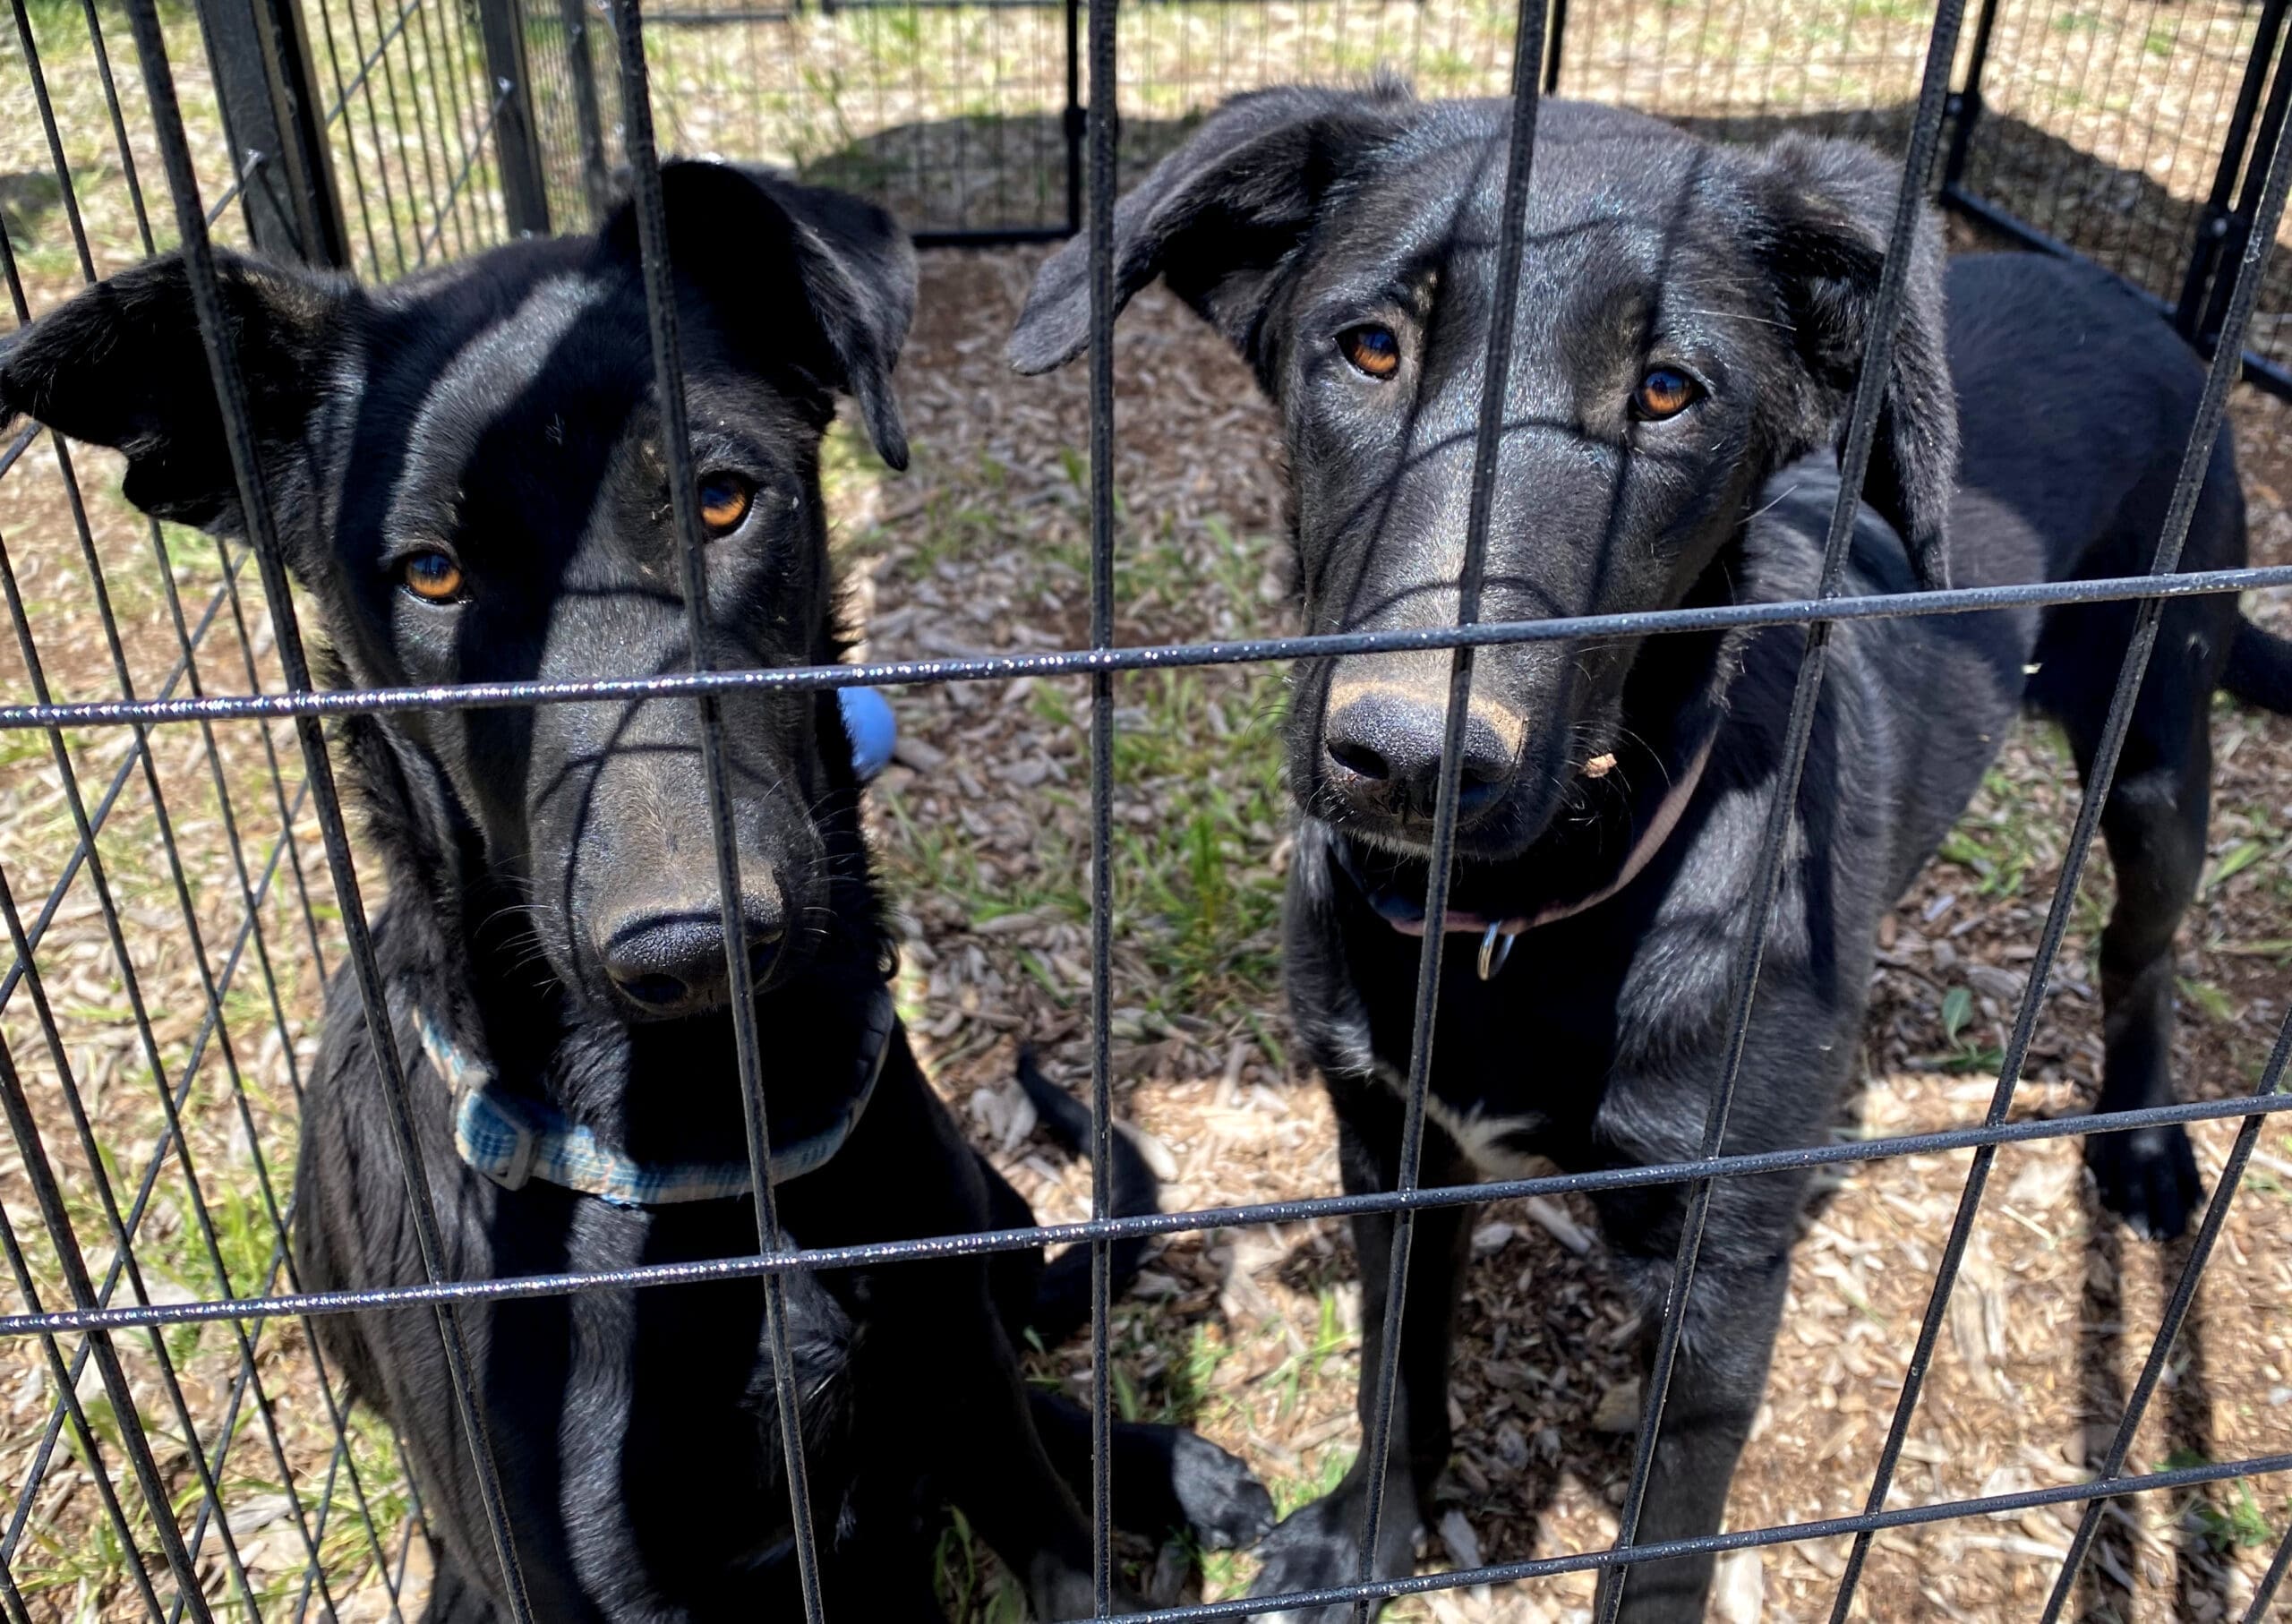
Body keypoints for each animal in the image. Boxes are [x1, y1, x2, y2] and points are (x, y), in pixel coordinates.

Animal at [9, 158, 1274, 1612]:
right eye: (432, 574)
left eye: (723, 499)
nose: (689, 942)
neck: (711, 1143)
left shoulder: (975, 1396)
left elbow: (1050, 1505)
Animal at [1008, 82, 2292, 1612]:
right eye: (1371, 346)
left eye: (1668, 391)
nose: (1412, 759)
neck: (1519, 920)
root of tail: (2131, 293)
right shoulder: (1388, 1142)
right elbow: (1396, 1371)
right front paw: (1362, 1539)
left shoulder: (1719, 1279)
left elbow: (1667, 1539)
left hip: (2159, 752)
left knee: (2138, 946)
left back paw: (2145, 1142)